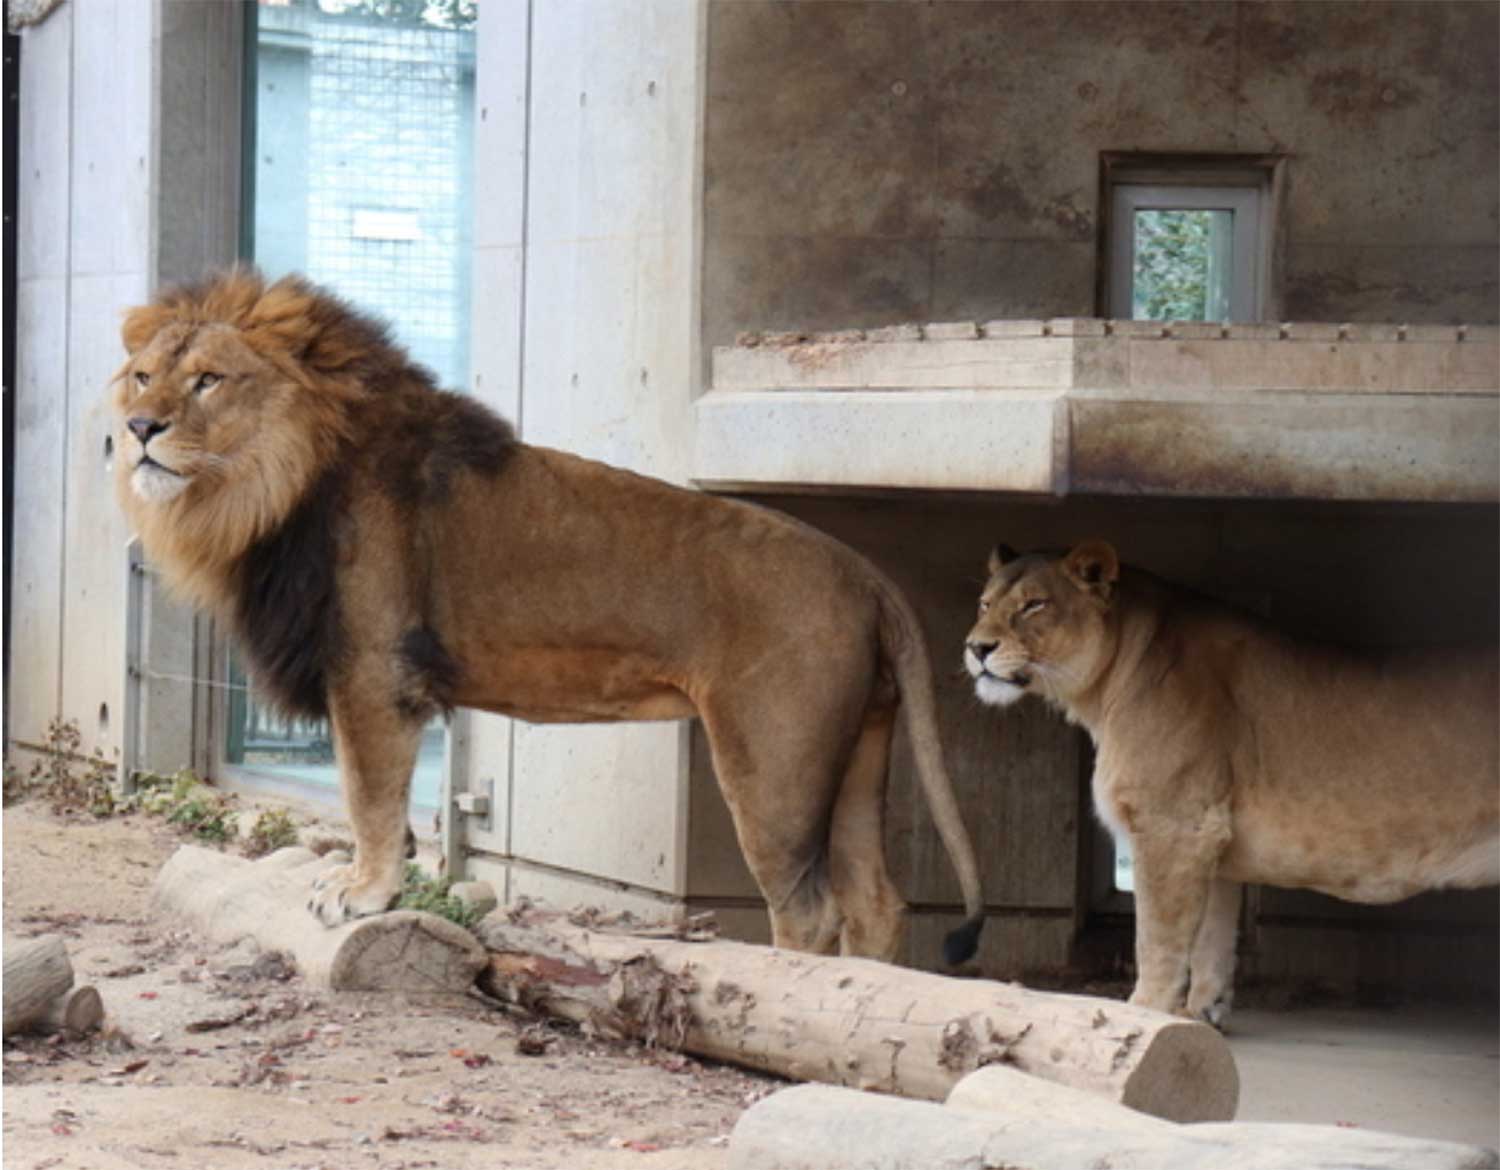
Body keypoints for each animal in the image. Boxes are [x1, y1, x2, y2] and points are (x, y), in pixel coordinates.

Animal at [114, 270, 984, 966]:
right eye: (142, 376)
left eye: (208, 381)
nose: (138, 429)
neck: (269, 486)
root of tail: (867, 575)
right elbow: (383, 804)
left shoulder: (371, 672)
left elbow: (368, 794)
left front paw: (362, 893)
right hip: (858, 749)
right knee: (876, 901)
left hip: (773, 763)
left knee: (811, 908)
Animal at [966, 543, 1494, 1026]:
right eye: (985, 604)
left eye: (1035, 605)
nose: (977, 648)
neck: (1109, 683)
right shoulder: (1208, 836)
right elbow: (1211, 939)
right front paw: (1201, 1016)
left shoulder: (1172, 826)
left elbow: (1157, 938)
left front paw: (1143, 1015)